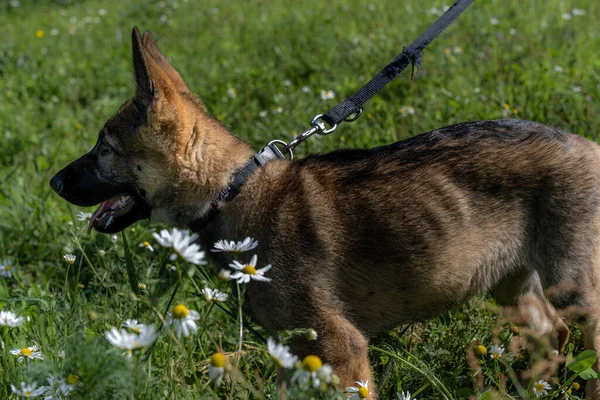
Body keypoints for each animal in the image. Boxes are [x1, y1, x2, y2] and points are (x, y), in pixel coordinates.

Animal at [50, 27, 600, 396]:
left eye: (104, 149)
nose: (53, 182)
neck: (233, 191)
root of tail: (588, 145)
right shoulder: (294, 354)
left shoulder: (342, 348)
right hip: (514, 285)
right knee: (551, 334)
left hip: (576, 287)